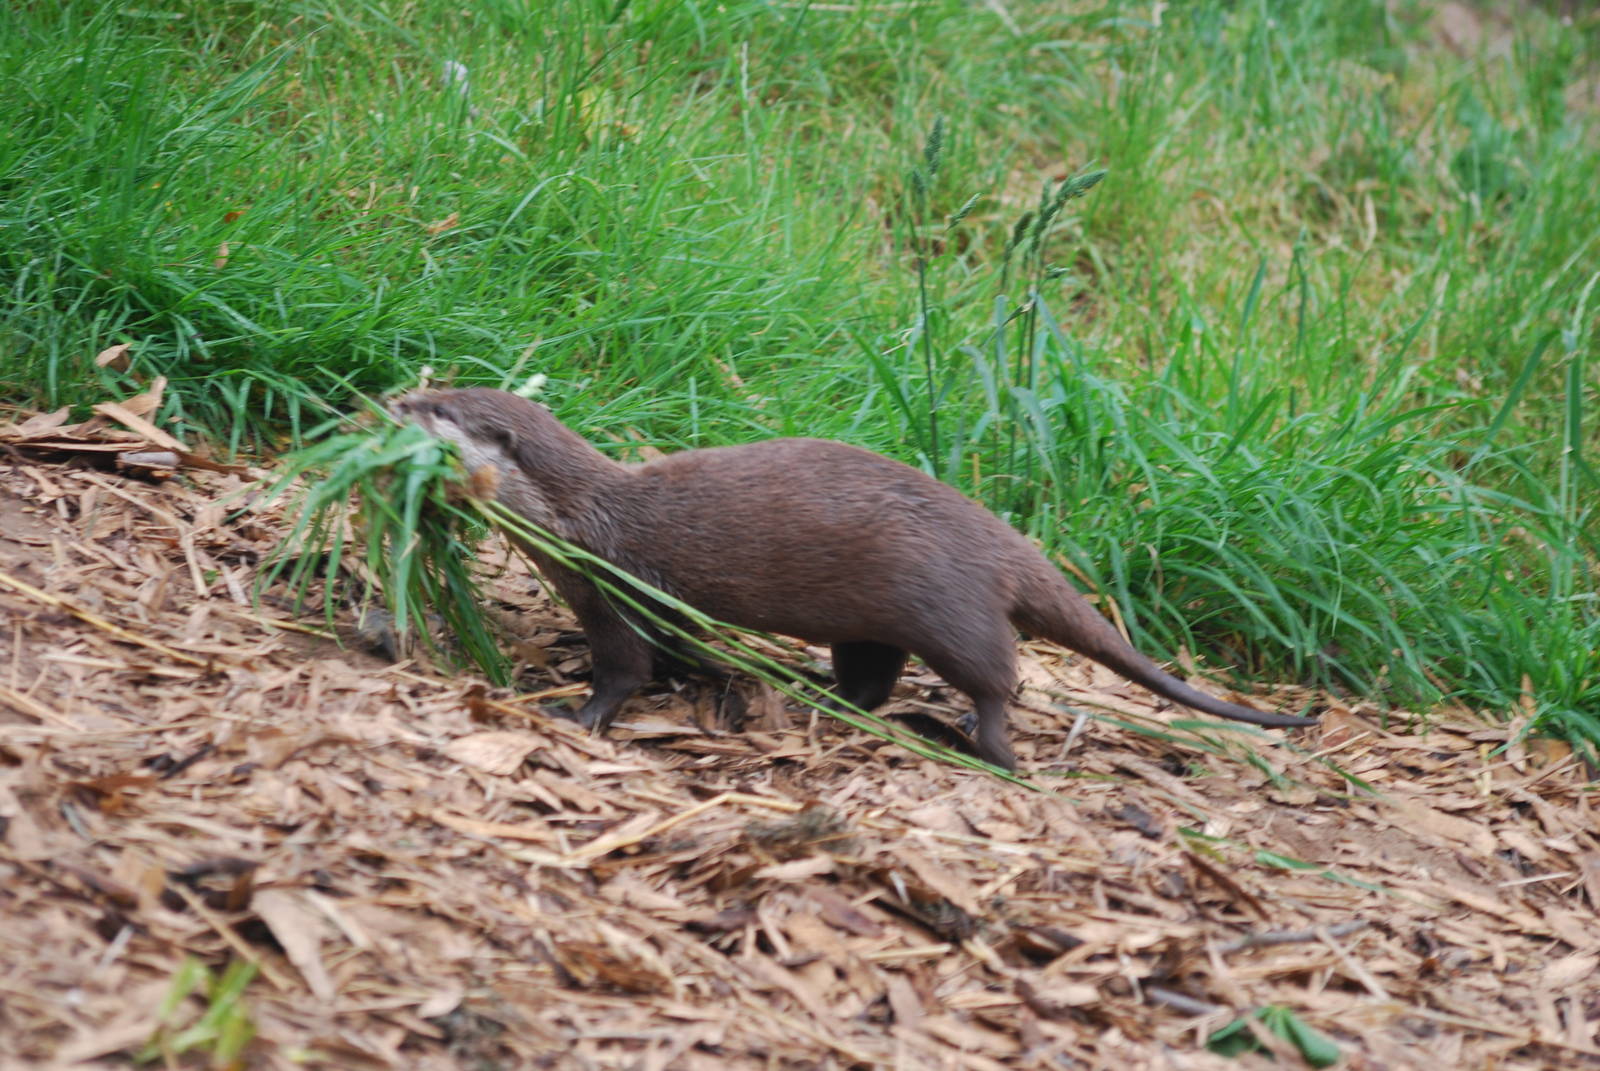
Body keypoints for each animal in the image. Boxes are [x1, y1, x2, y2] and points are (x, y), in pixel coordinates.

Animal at [391, 388, 1315, 770]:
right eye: (437, 385)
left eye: (438, 409)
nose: (393, 396)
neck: (585, 520)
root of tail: (1008, 545)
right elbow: (683, 649)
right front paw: (710, 676)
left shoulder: (615, 588)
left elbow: (626, 670)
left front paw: (573, 715)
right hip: (874, 624)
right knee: (873, 679)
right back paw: (822, 699)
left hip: (951, 611)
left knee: (996, 681)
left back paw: (986, 746)